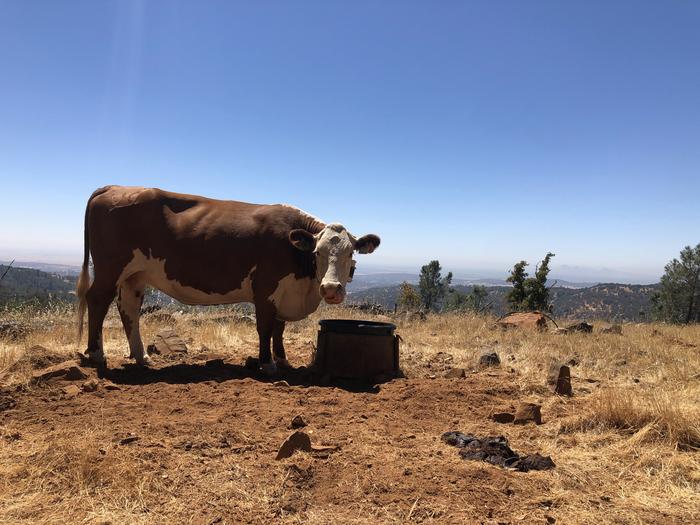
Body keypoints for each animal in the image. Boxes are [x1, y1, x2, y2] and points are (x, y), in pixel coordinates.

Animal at [76, 184, 380, 372]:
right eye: (317, 252)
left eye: (351, 253)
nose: (330, 289)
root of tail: (115, 187)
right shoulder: (266, 287)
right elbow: (265, 328)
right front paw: (267, 364)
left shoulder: (285, 292)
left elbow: (279, 328)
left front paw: (282, 360)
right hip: (110, 268)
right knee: (98, 300)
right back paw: (97, 354)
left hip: (135, 276)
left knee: (128, 309)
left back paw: (141, 357)